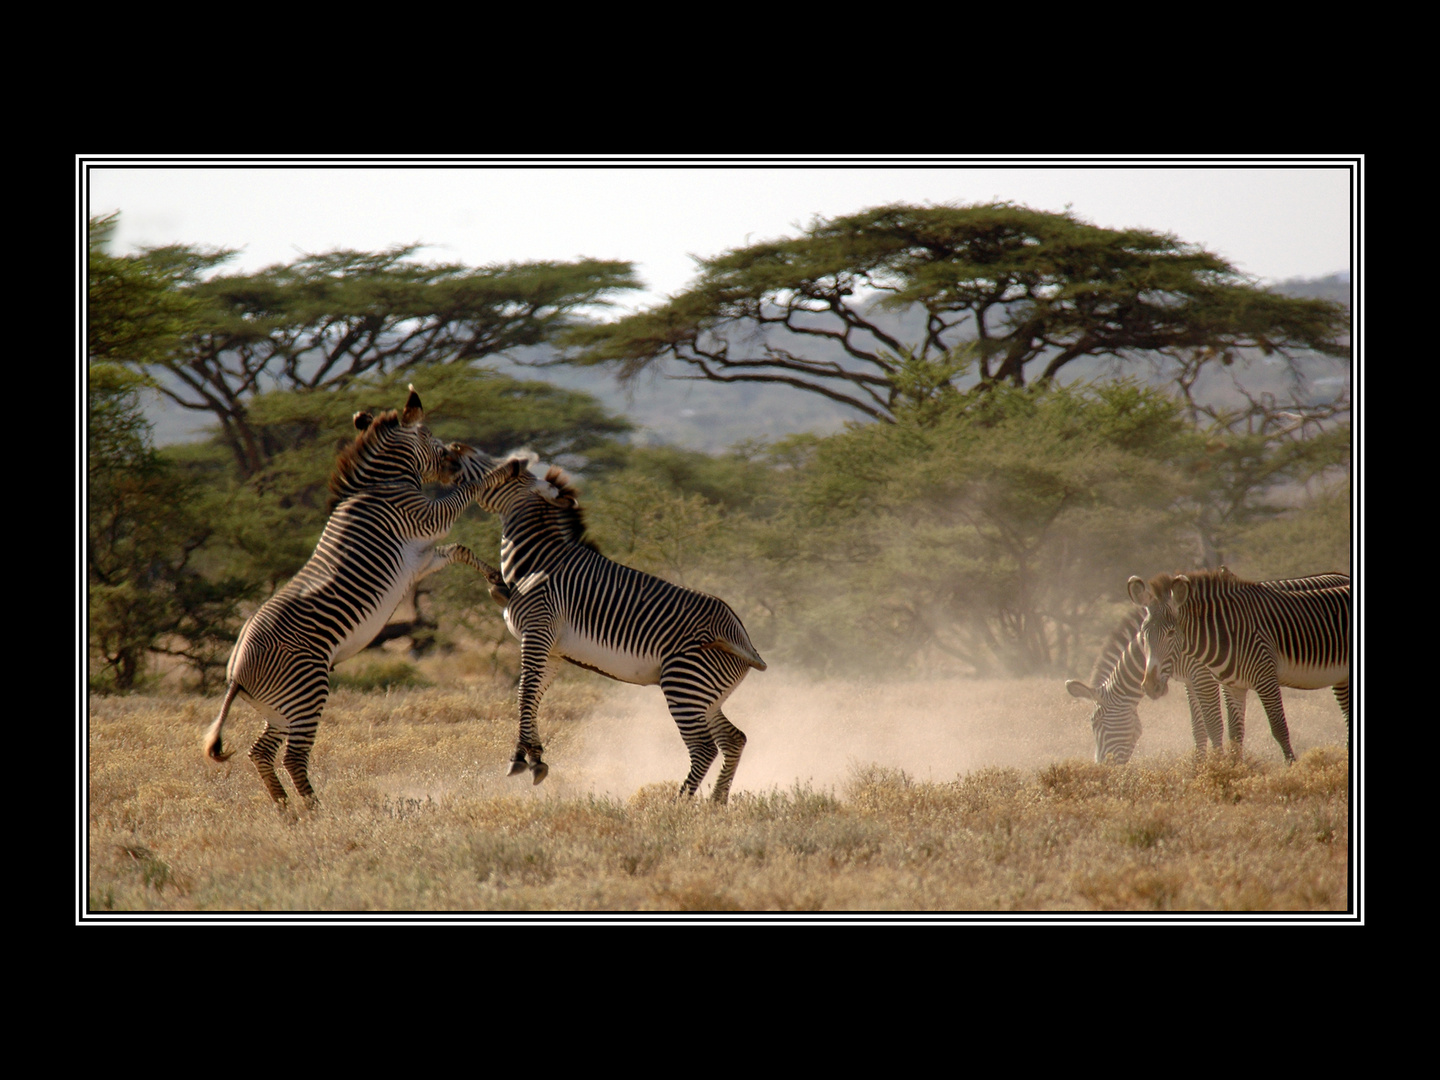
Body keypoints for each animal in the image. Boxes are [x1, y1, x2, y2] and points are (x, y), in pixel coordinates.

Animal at [200, 385, 498, 806]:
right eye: (428, 435)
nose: (456, 459)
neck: (382, 486)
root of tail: (235, 675)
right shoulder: (426, 520)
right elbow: (463, 498)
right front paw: (503, 470)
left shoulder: (419, 560)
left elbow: (460, 550)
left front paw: (498, 581)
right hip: (308, 689)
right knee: (292, 757)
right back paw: (315, 810)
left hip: (280, 707)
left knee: (261, 752)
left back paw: (286, 809)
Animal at [457, 449, 771, 806]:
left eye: (510, 470)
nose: (457, 450)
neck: (538, 563)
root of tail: (743, 637)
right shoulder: (551, 650)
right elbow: (532, 695)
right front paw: (534, 757)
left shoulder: (538, 629)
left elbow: (524, 692)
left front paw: (521, 759)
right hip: (706, 695)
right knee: (734, 738)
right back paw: (716, 802)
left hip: (684, 683)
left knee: (704, 747)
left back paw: (678, 805)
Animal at [1128, 570, 1353, 766]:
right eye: (1143, 633)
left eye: (1171, 633)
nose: (1150, 685)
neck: (1223, 632)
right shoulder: (1230, 685)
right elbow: (1232, 734)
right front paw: (1230, 771)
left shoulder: (1263, 678)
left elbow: (1277, 728)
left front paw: (1292, 770)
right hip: (1342, 678)